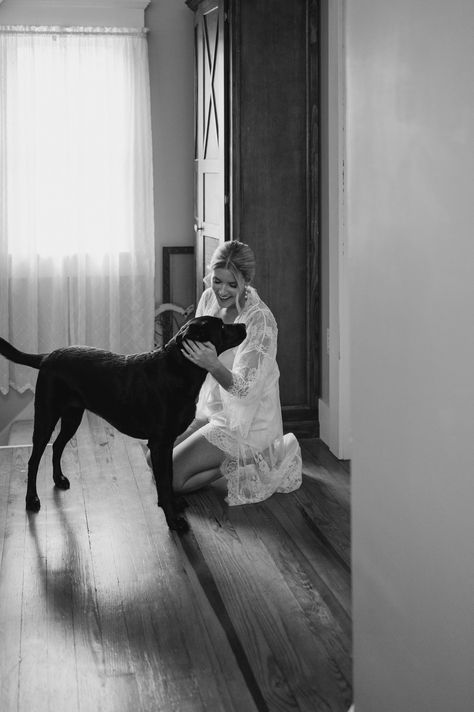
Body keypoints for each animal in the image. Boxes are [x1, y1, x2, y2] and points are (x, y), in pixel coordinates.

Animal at [0, 318, 248, 528]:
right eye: (222, 326)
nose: (244, 324)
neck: (178, 369)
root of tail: (46, 357)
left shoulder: (167, 444)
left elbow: (168, 478)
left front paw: (173, 505)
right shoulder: (159, 444)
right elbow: (163, 482)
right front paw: (173, 520)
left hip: (72, 417)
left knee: (58, 446)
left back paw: (59, 479)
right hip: (46, 417)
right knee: (34, 460)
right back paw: (32, 500)